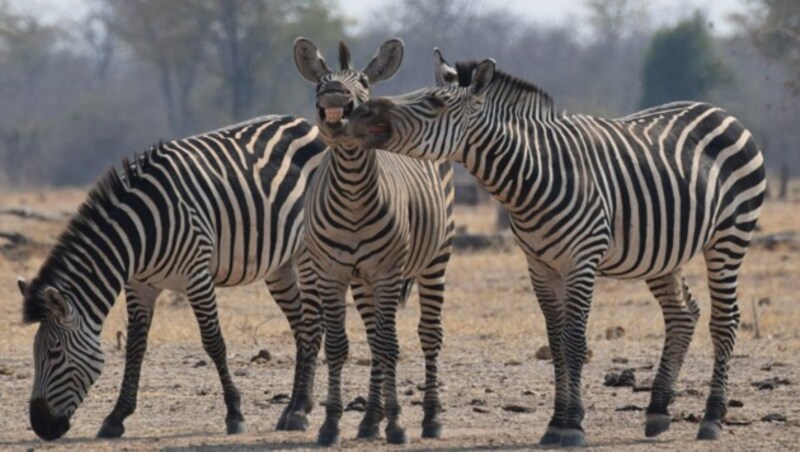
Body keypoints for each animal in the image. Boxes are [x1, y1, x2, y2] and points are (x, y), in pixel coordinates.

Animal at [14, 115, 326, 440]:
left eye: (54, 353)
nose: (41, 426)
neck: (140, 235)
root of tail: (305, 123)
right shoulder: (139, 286)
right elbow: (135, 347)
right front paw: (116, 417)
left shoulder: (197, 277)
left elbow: (214, 342)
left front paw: (234, 414)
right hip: (280, 265)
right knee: (301, 327)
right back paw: (292, 409)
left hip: (306, 252)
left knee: (311, 325)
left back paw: (299, 411)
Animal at [294, 38, 456, 444]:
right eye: (321, 82)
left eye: (363, 82)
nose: (335, 95)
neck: (352, 192)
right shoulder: (331, 273)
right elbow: (340, 346)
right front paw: (331, 424)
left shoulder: (388, 272)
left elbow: (390, 346)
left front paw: (397, 424)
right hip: (362, 280)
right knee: (371, 336)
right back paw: (369, 420)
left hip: (435, 260)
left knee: (428, 335)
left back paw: (431, 418)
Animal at [346, 53, 764, 444]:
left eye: (434, 102)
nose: (359, 112)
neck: (535, 176)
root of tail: (720, 111)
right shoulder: (540, 266)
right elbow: (556, 342)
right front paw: (555, 424)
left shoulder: (582, 262)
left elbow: (575, 341)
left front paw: (574, 425)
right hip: (662, 253)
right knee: (682, 314)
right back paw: (658, 410)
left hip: (730, 236)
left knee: (725, 320)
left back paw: (711, 418)